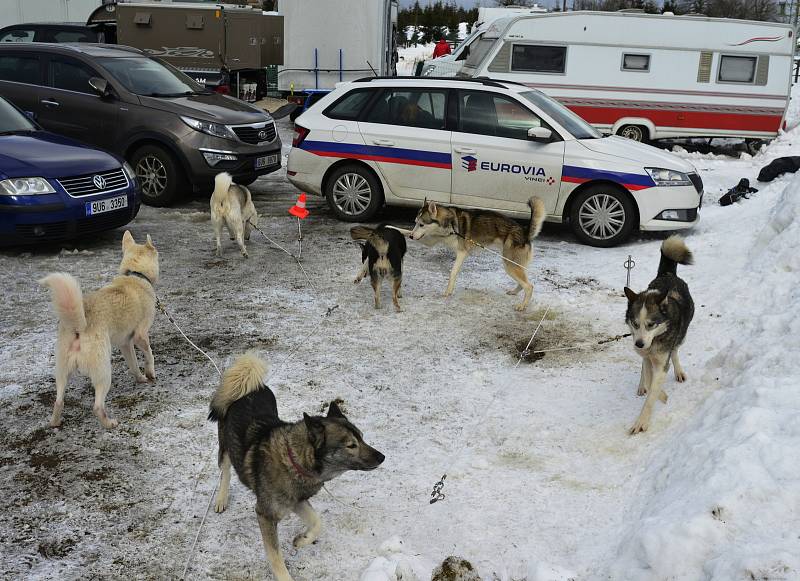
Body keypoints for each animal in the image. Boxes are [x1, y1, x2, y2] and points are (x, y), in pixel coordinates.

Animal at [38, 229, 160, 428]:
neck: (134, 274)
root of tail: (79, 326)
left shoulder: (126, 344)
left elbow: (133, 365)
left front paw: (141, 378)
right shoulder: (140, 336)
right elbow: (149, 355)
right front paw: (150, 374)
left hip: (62, 371)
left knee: (58, 401)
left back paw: (55, 422)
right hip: (103, 371)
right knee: (97, 406)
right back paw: (109, 423)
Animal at [206, 352, 382, 576]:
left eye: (362, 437)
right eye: (351, 445)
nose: (382, 457)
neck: (293, 460)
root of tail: (249, 385)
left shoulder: (297, 501)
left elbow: (318, 521)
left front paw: (302, 539)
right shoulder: (265, 515)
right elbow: (275, 557)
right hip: (225, 445)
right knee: (226, 470)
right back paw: (221, 498)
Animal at [624, 233, 692, 432]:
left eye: (651, 324)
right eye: (635, 323)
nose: (639, 344)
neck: (654, 340)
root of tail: (667, 274)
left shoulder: (661, 359)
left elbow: (655, 383)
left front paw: (642, 422)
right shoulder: (646, 354)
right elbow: (649, 378)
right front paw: (659, 393)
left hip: (681, 335)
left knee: (675, 351)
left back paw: (678, 371)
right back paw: (642, 385)